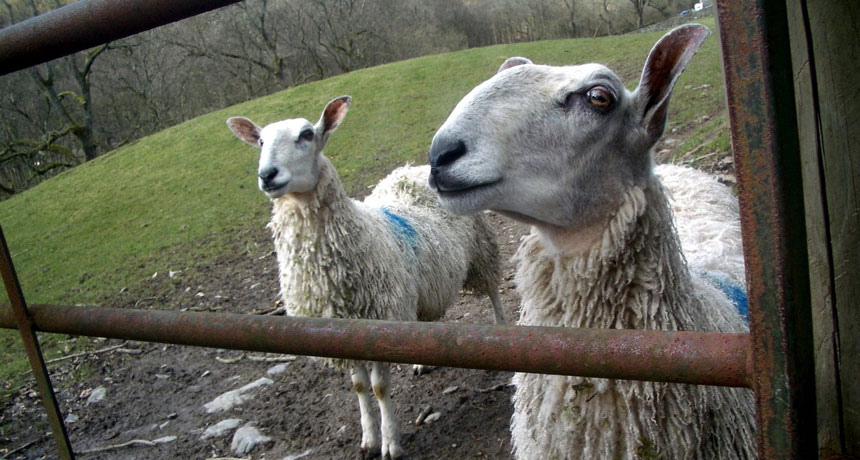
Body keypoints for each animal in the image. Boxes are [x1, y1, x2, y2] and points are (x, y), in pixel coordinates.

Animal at [226, 96, 506, 459]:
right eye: (260, 141)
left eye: (306, 134)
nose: (267, 175)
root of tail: (410, 169)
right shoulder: (341, 330)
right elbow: (360, 386)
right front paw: (369, 439)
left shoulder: (382, 320)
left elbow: (379, 387)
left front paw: (390, 443)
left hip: (482, 249)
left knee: (494, 291)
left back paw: (501, 329)